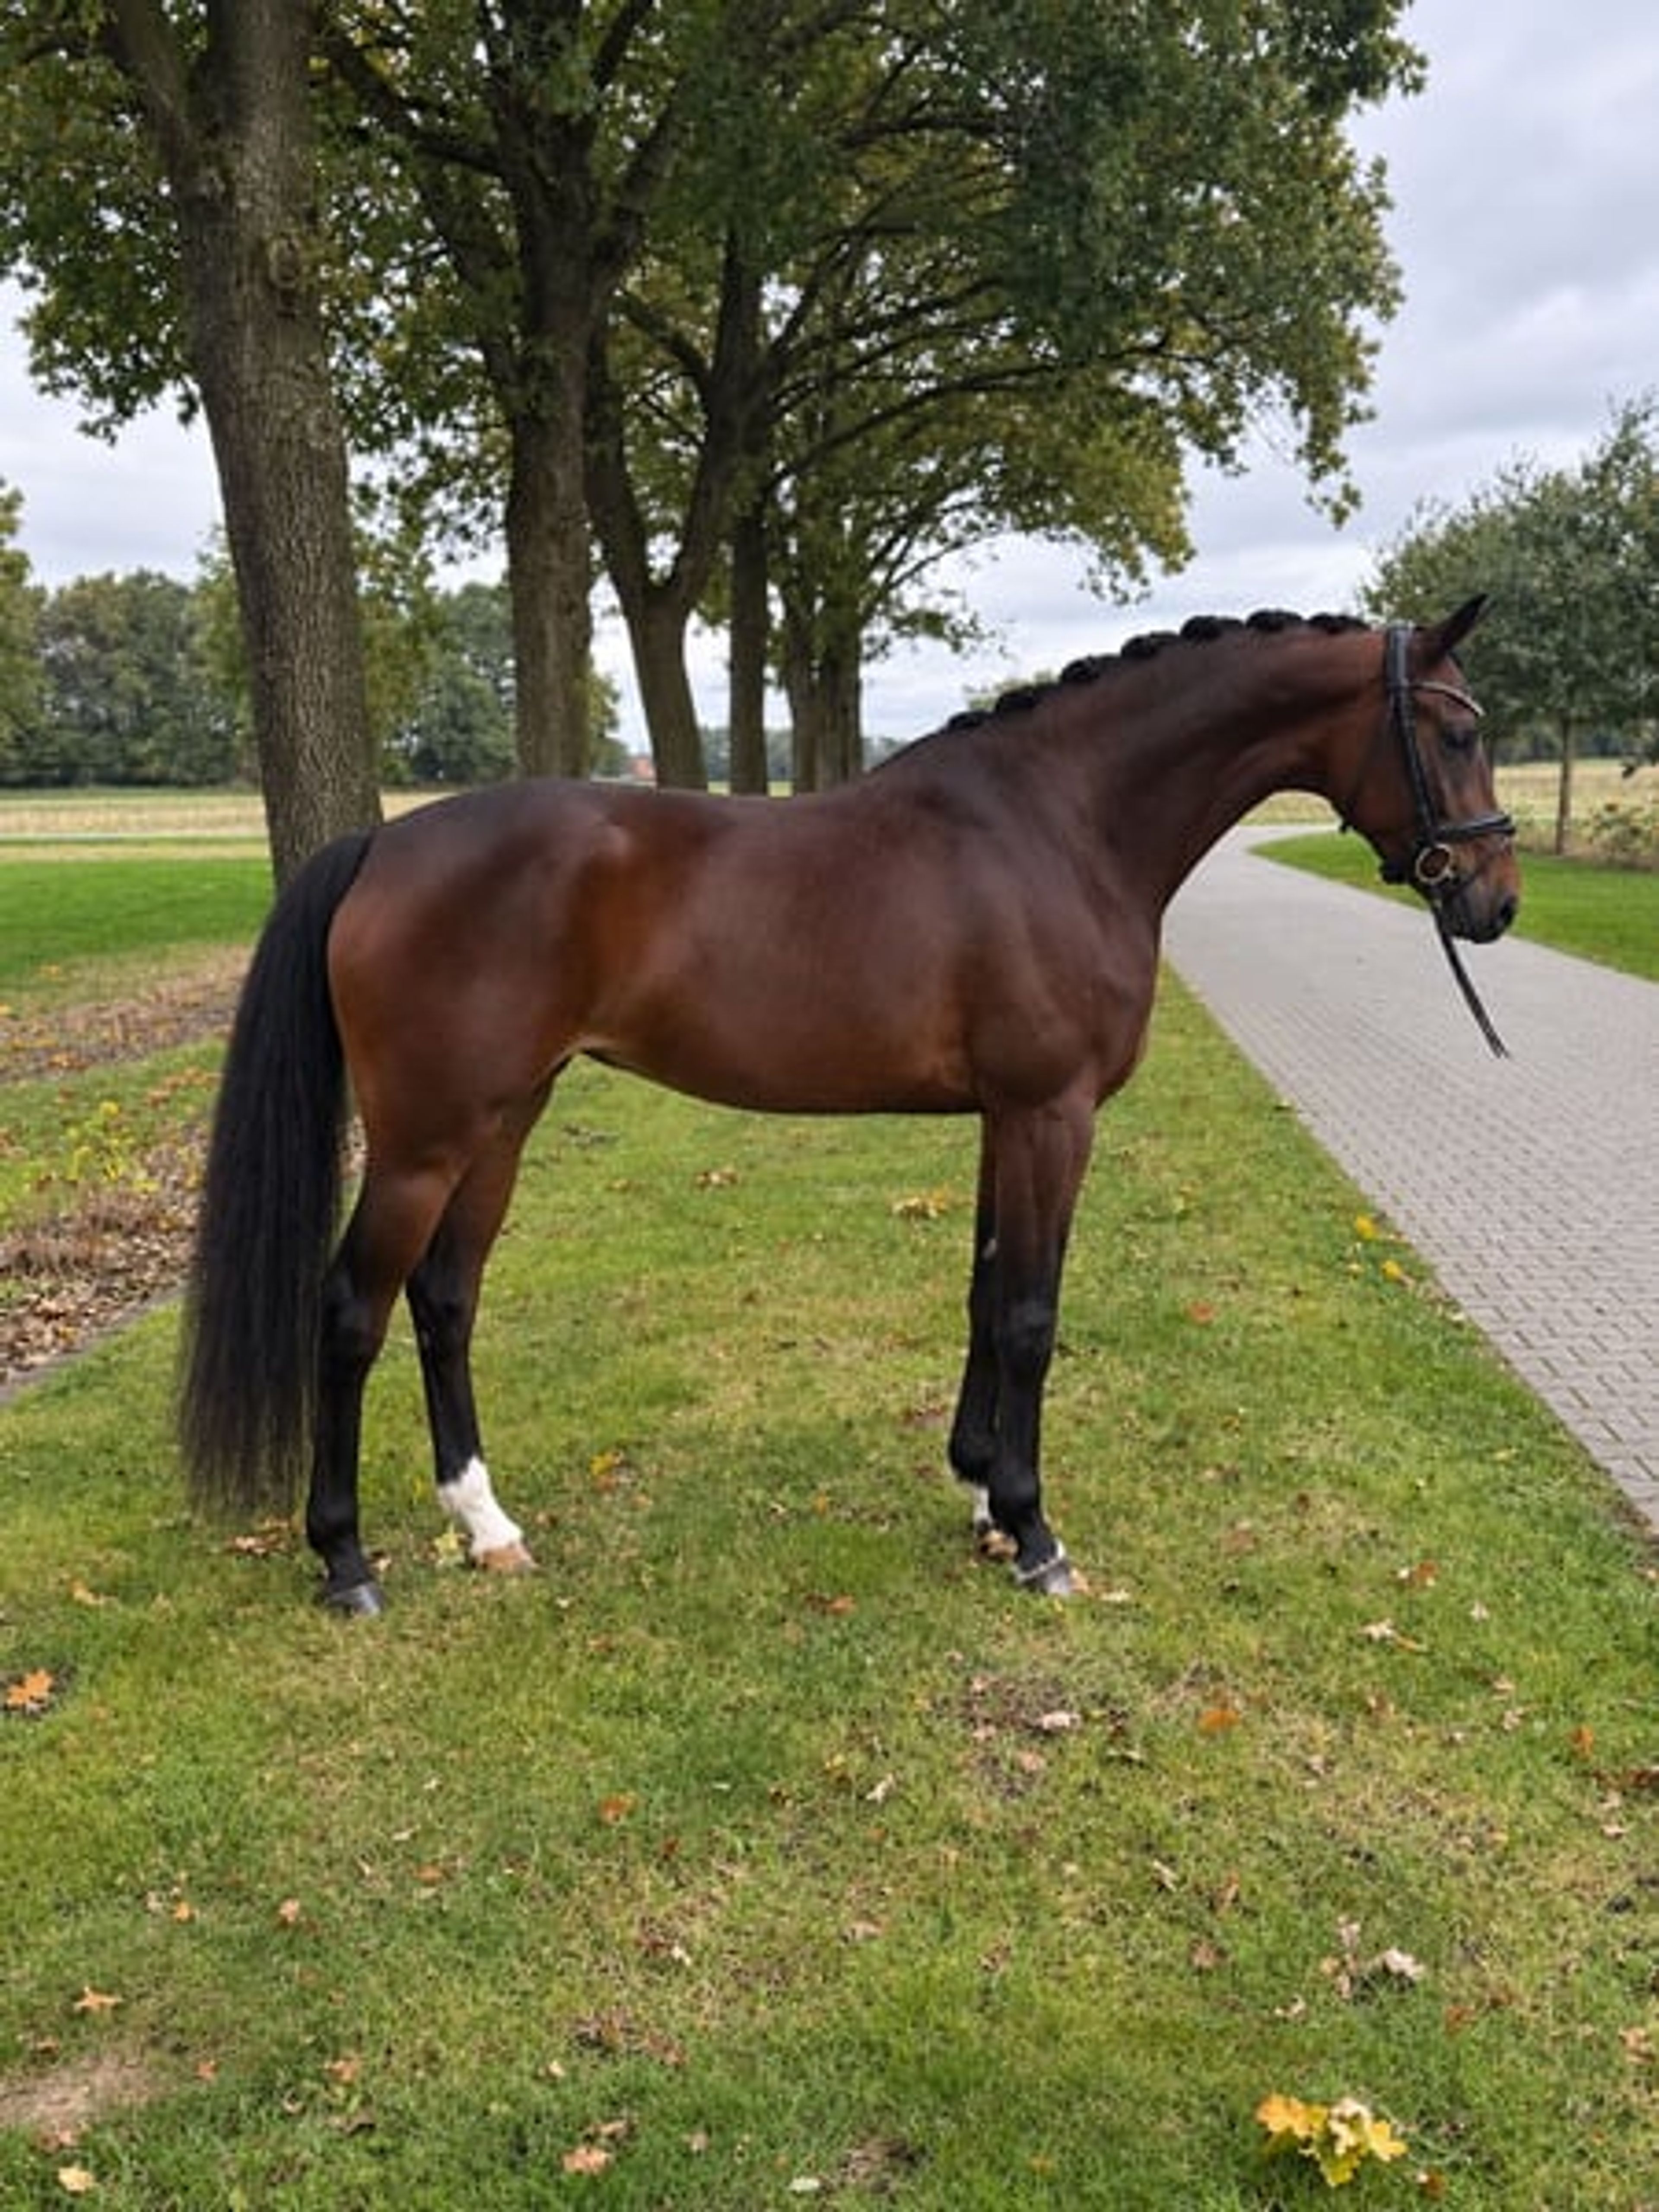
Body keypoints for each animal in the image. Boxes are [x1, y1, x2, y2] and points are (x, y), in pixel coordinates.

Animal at [180, 600, 1518, 1615]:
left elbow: (985, 1293)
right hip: (425, 1140)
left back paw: (486, 1523)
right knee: (351, 1311)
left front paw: (979, 1492)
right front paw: (1036, 1535)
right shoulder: (1052, 1113)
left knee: (446, 1299)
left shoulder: (1003, 1118)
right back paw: (345, 1559)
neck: (1064, 828)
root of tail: (382, 846)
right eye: (1454, 730)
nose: (1496, 898)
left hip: (506, 1118)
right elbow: (1030, 1313)